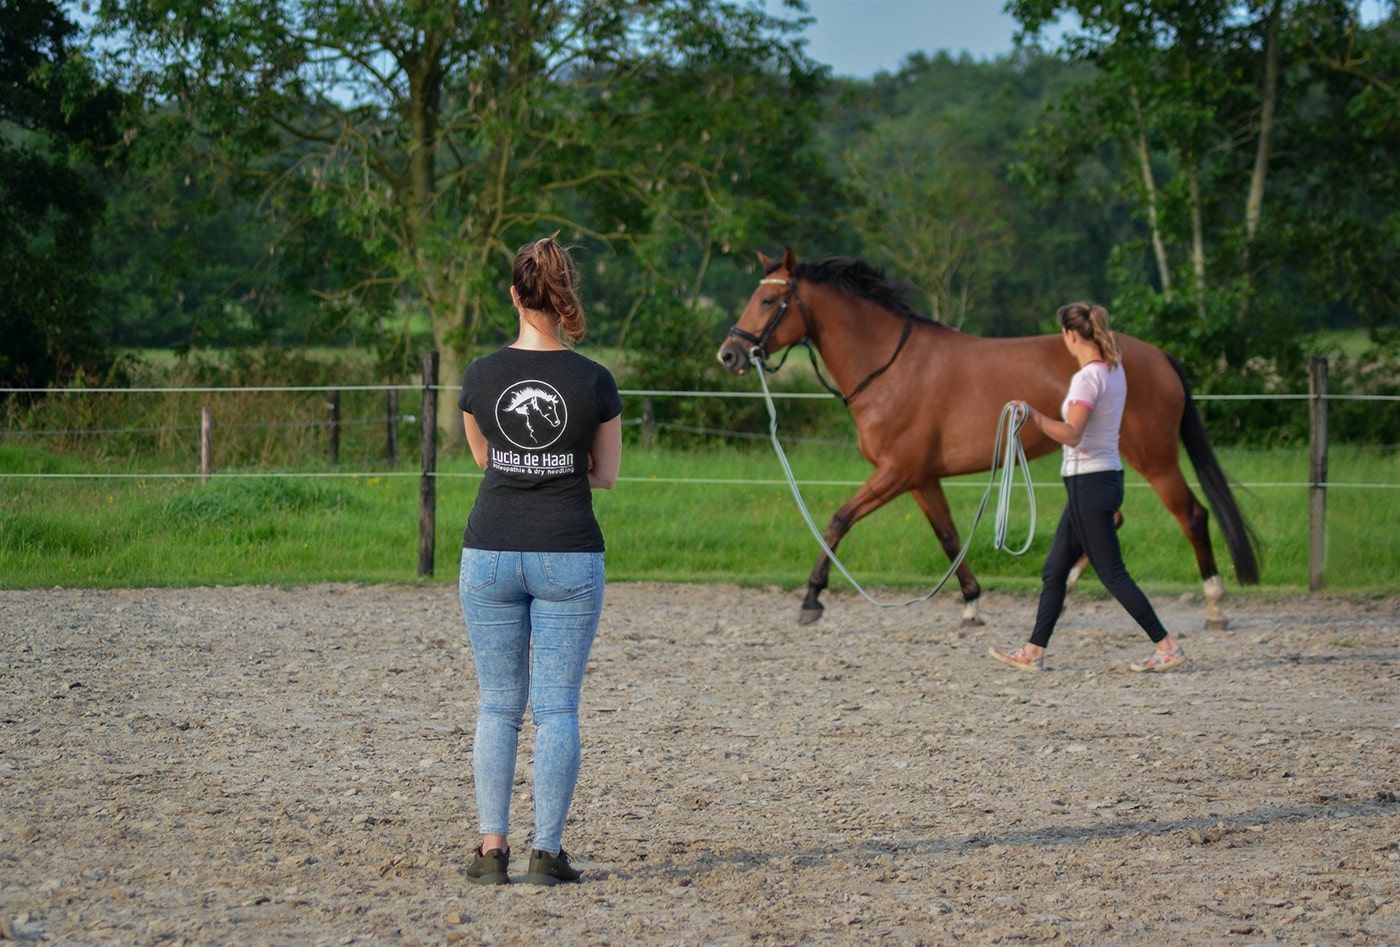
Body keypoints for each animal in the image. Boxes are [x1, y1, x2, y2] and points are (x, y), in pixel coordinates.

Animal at [716, 250, 1259, 630]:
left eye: (768, 300)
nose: (729, 354)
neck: (889, 367)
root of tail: (1157, 356)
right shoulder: (920, 478)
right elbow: (949, 537)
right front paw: (972, 604)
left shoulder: (894, 473)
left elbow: (837, 521)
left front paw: (811, 599)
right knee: (1111, 518)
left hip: (1155, 457)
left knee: (1192, 515)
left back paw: (1215, 605)